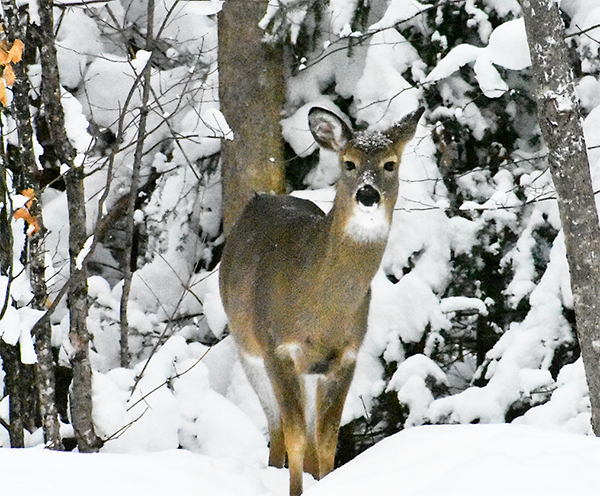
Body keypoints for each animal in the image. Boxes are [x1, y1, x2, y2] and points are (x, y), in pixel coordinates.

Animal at [219, 105, 422, 496]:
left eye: (390, 164)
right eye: (349, 163)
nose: (367, 194)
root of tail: (260, 198)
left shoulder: (345, 356)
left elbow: (326, 442)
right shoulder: (277, 348)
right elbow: (295, 436)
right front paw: (296, 492)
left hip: (307, 371)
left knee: (309, 439)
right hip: (248, 347)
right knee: (277, 427)